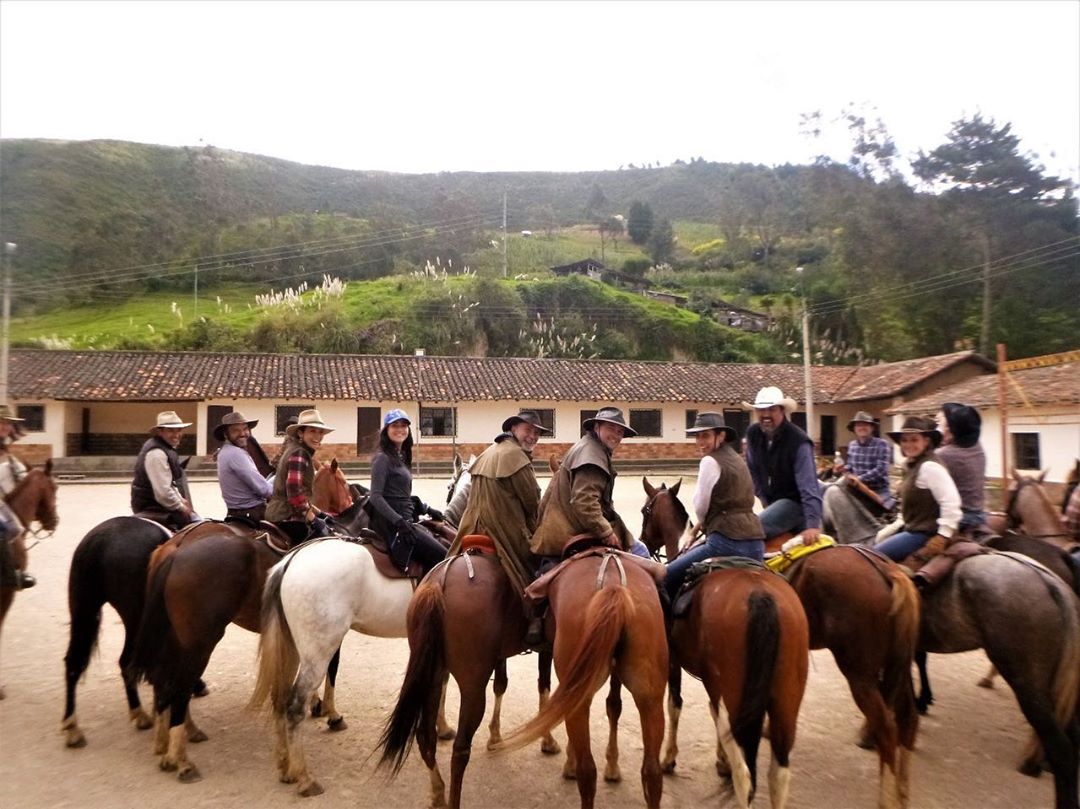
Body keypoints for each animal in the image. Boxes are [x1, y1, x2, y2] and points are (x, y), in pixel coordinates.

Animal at [492, 548, 665, 807]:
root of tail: (614, 589)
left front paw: (571, 761)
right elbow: (613, 705)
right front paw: (611, 766)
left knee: (588, 771)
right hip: (650, 698)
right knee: (652, 773)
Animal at [660, 561, 807, 807]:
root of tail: (760, 595)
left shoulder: (673, 658)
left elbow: (674, 704)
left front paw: (668, 758)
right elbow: (711, 712)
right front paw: (721, 759)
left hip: (731, 697)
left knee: (744, 776)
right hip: (786, 703)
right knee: (779, 775)